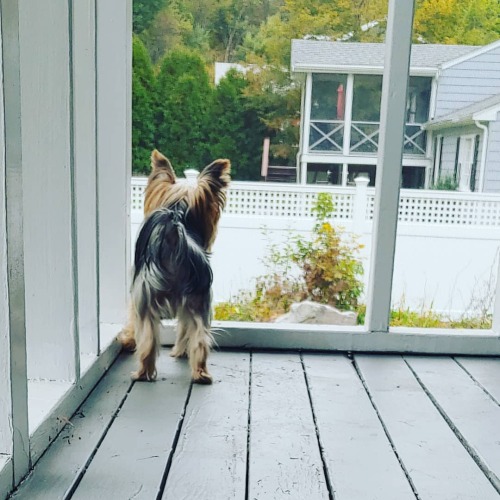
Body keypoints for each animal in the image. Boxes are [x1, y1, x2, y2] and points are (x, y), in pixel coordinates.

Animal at [119, 148, 230, 382]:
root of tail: (173, 233)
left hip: (151, 297)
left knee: (154, 337)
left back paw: (146, 371)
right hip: (197, 300)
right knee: (197, 337)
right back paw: (198, 373)